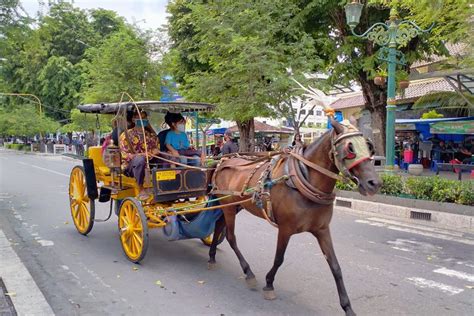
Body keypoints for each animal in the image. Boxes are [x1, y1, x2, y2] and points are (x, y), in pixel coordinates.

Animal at [207, 119, 382, 314]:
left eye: (369, 147)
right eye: (350, 149)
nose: (374, 183)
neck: (303, 181)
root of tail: (223, 161)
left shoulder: (322, 230)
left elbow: (335, 267)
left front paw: (347, 307)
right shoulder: (285, 229)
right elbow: (279, 258)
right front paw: (269, 283)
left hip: (233, 206)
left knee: (218, 226)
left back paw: (212, 255)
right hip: (229, 208)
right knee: (231, 237)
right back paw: (248, 272)